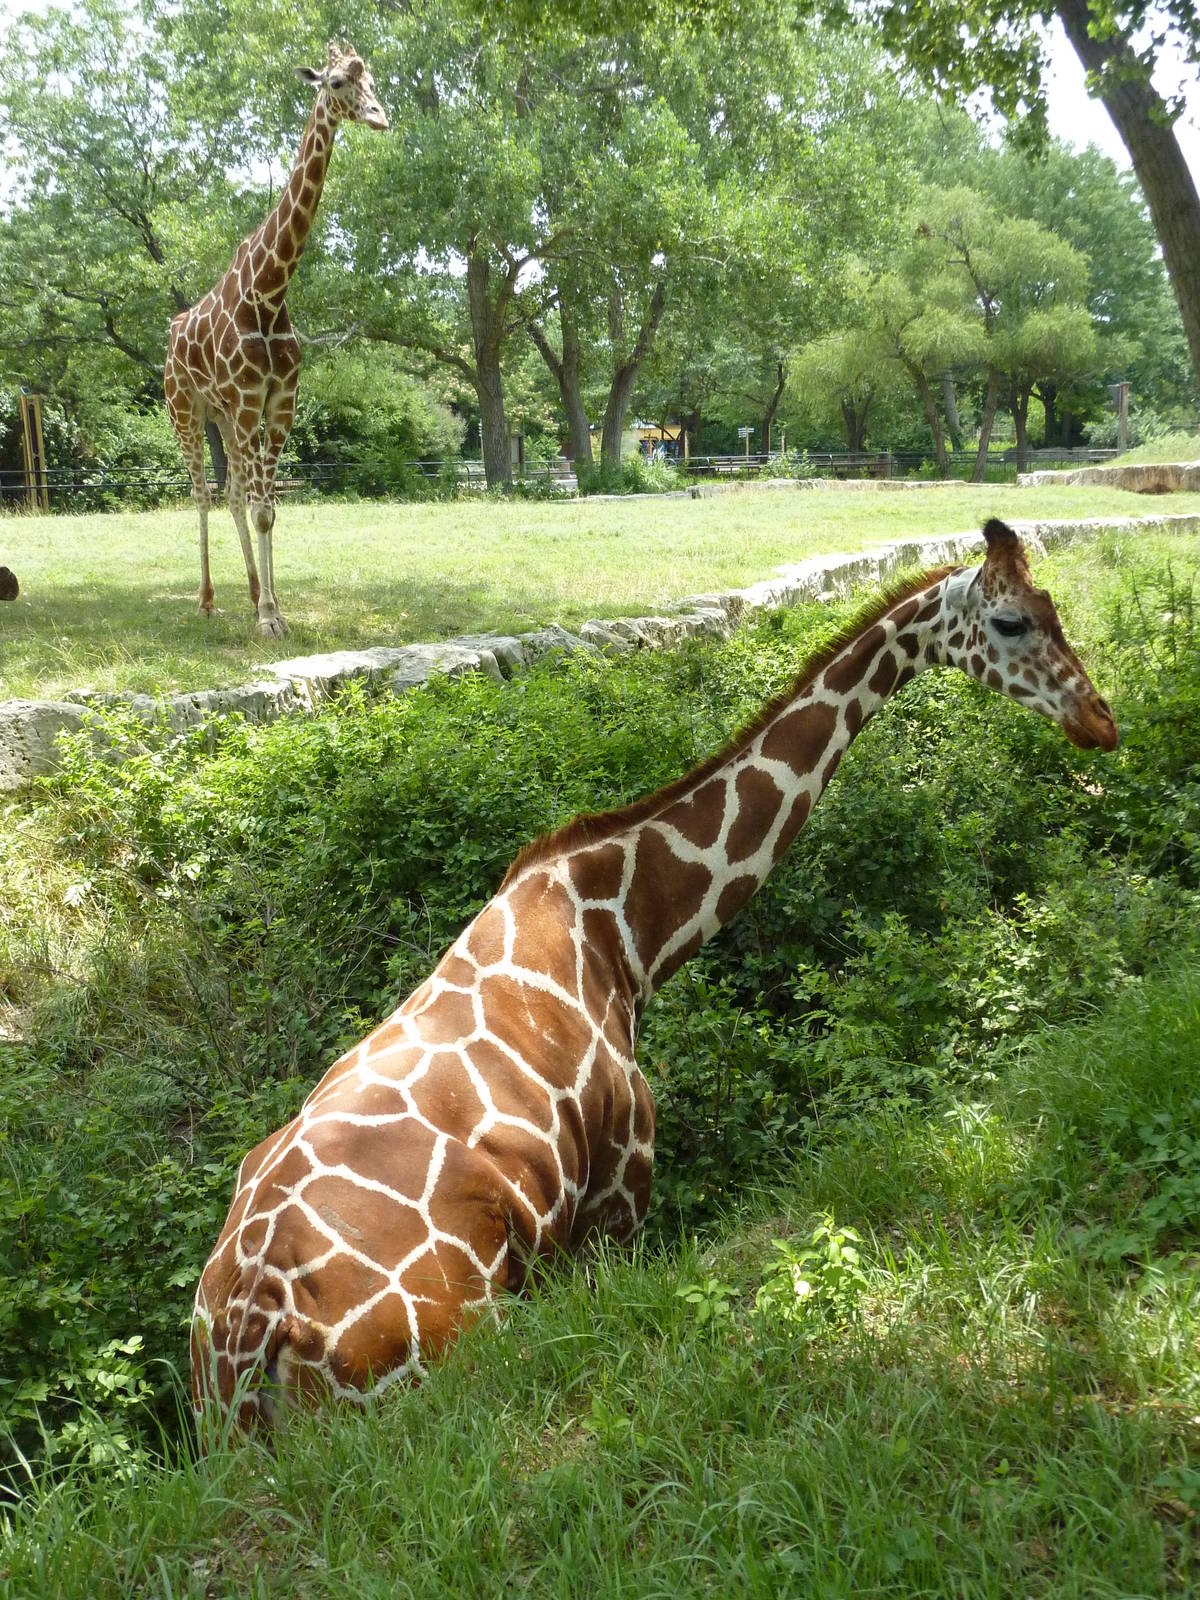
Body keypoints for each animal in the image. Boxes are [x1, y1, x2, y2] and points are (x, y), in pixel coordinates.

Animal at [164, 42, 387, 638]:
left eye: (372, 79)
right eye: (336, 82)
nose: (379, 117)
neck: (268, 290)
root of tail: (170, 336)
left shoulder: (278, 401)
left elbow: (267, 508)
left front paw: (273, 605)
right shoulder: (247, 403)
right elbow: (260, 505)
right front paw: (268, 618)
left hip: (219, 416)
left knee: (233, 494)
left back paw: (248, 591)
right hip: (186, 411)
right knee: (202, 493)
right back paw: (208, 601)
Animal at [192, 520, 1118, 1428]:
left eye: (1052, 606)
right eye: (1011, 622)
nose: (1100, 720)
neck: (622, 935)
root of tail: (251, 1330)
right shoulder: (619, 1193)